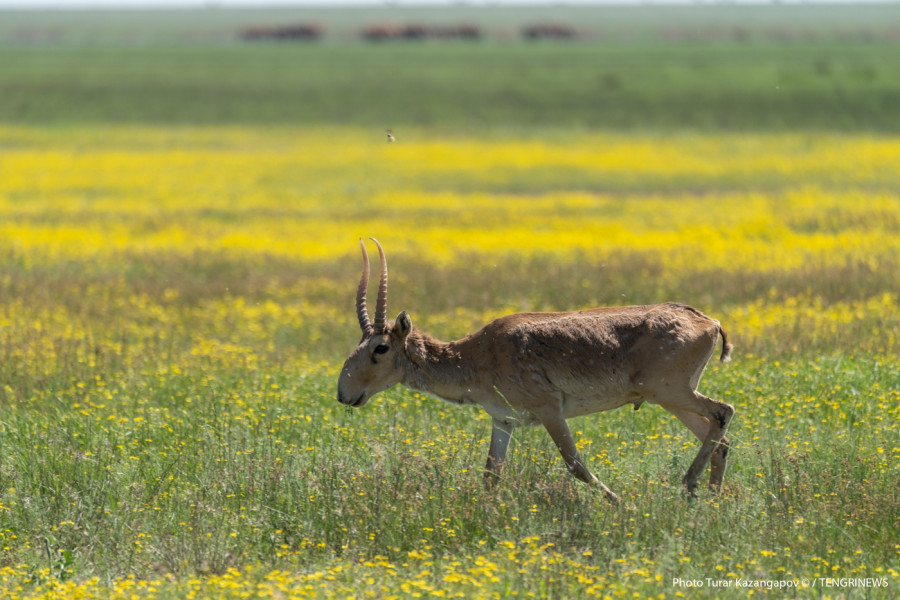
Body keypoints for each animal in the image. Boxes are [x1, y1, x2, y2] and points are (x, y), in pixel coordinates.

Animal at [338, 238, 732, 502]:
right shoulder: (503, 419)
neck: (479, 353)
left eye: (380, 347)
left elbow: (575, 464)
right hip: (672, 398)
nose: (344, 394)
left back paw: (690, 485)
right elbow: (491, 474)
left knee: (723, 412)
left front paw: (621, 504)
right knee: (719, 438)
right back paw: (708, 499)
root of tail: (708, 321)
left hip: (669, 391)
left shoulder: (549, 409)